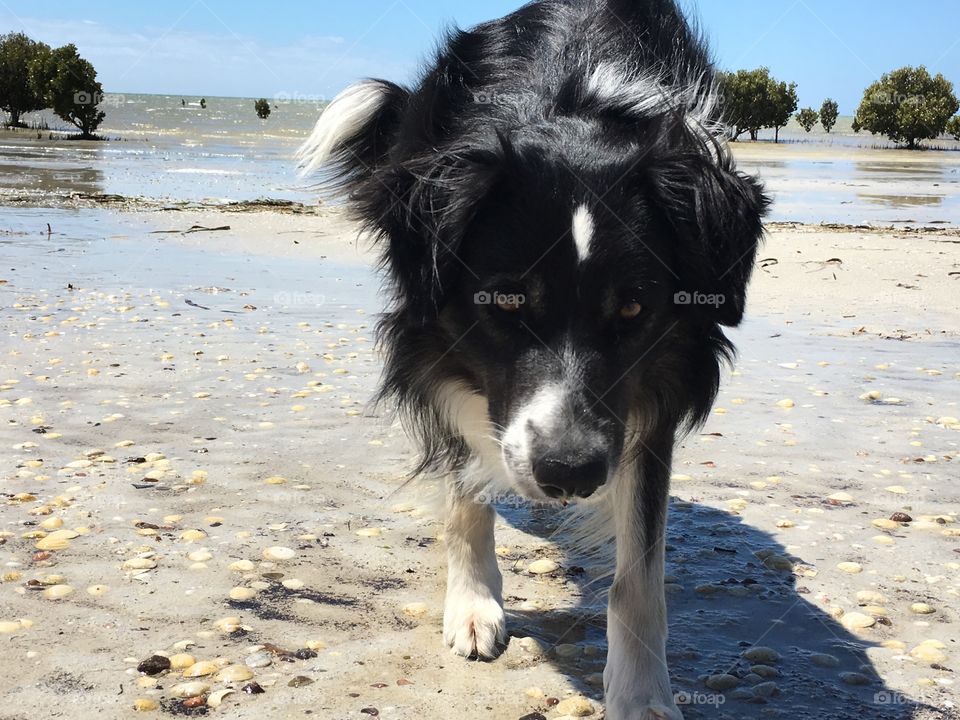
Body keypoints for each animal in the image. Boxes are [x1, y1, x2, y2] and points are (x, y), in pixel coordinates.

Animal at [300, 2, 764, 716]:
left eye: (633, 309)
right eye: (507, 302)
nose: (570, 473)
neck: (569, 101)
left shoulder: (650, 393)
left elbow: (640, 570)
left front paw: (642, 694)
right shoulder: (445, 355)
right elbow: (464, 489)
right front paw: (472, 606)